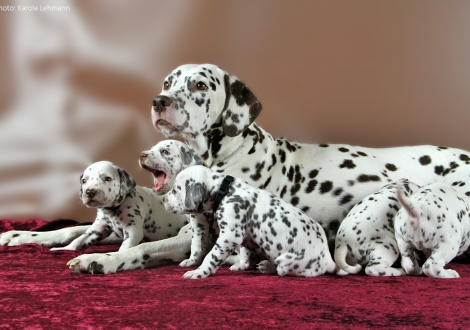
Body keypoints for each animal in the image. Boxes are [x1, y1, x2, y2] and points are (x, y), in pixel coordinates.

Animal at [163, 165, 340, 278]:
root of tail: (328, 260)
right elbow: (244, 252)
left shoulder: (229, 237)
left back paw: (268, 267)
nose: (163, 199)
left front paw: (199, 272)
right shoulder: (243, 236)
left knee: (282, 271)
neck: (225, 191)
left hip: (288, 262)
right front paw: (242, 265)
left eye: (176, 190)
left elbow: (211, 257)